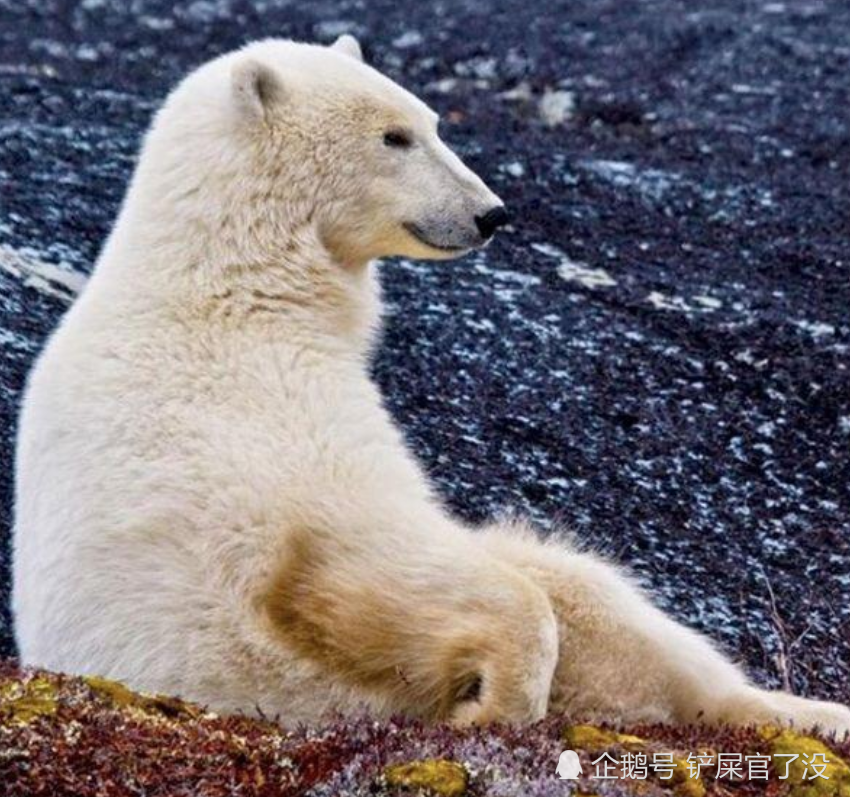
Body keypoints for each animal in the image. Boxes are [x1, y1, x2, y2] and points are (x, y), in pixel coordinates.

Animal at [13, 37, 848, 732]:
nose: (491, 212)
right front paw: (496, 704)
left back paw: (809, 712)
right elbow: (365, 557)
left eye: (432, 121)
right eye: (394, 136)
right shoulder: (251, 421)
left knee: (599, 597)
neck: (235, 290)